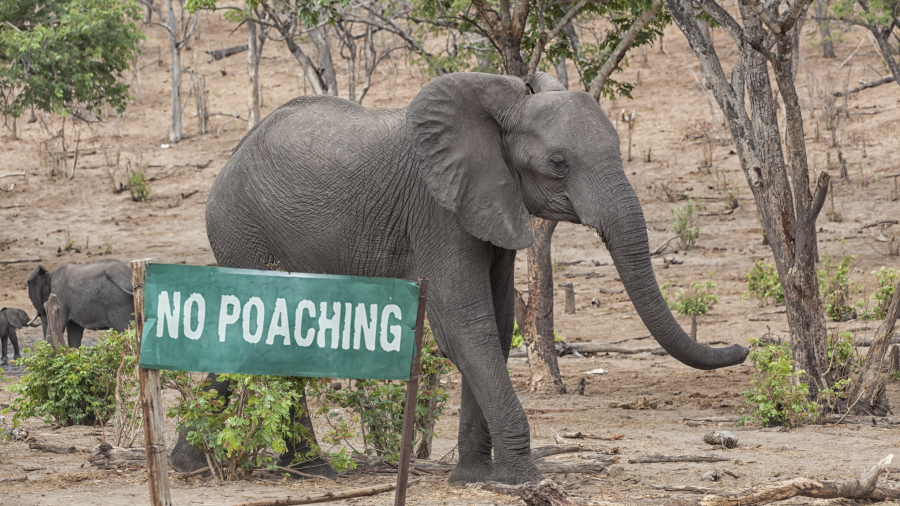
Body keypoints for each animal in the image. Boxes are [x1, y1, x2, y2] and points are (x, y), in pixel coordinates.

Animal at [193, 69, 748, 484]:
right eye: (559, 163)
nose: (743, 347)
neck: (502, 110)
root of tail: (230, 157)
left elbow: (497, 326)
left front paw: (475, 477)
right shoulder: (436, 209)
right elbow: (467, 324)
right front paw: (523, 479)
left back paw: (283, 468)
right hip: (242, 228)